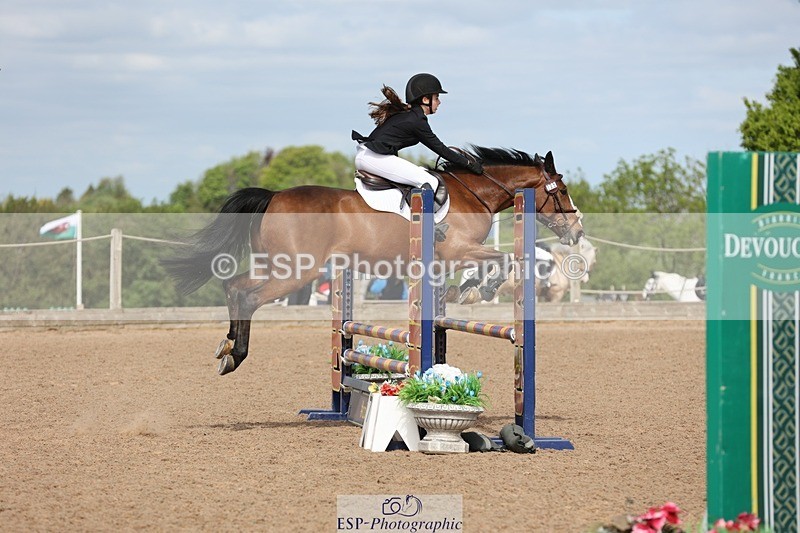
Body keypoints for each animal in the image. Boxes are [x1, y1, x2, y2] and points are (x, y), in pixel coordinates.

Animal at [164, 147, 584, 375]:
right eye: (561, 190)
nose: (577, 231)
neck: (473, 194)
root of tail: (273, 196)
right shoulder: (458, 250)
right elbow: (503, 258)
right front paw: (479, 288)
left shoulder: (445, 261)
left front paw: (464, 290)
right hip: (297, 271)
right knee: (248, 296)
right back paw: (236, 355)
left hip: (275, 265)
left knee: (233, 286)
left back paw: (225, 349)